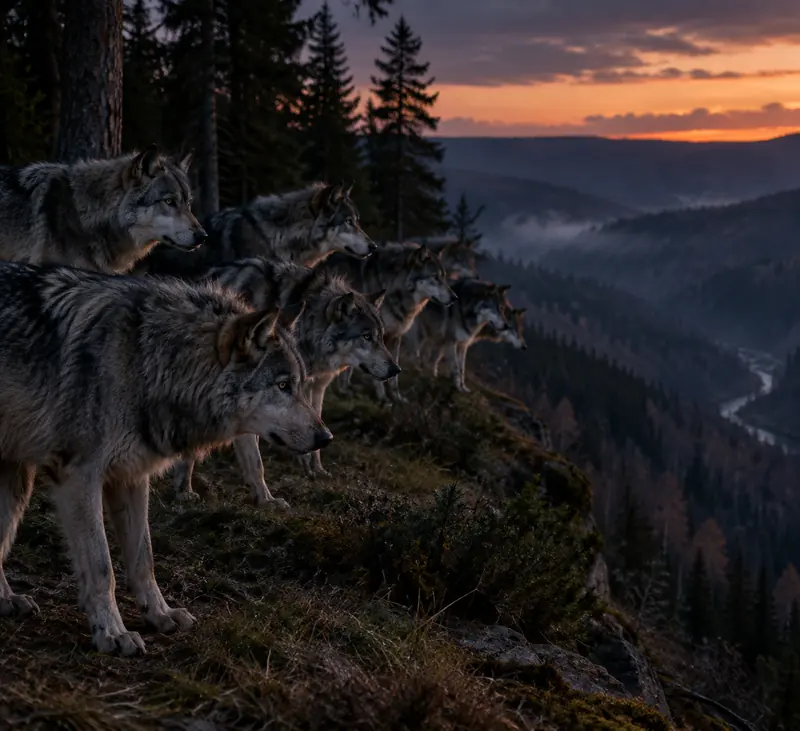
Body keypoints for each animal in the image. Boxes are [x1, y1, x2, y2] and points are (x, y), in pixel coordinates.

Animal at [0, 262, 331, 656]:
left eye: (300, 383)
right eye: (283, 386)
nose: (326, 437)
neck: (147, 360)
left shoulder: (130, 476)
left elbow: (144, 559)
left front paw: (160, 615)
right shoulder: (78, 477)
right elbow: (101, 566)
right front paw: (112, 633)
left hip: (15, 479)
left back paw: (6, 600)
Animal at [172, 257, 398, 506]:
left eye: (381, 337)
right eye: (367, 337)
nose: (395, 369)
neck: (306, 328)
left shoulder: (310, 389)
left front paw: (312, 469)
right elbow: (256, 461)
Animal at [328, 243, 456, 404]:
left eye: (444, 277)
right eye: (435, 277)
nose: (455, 297)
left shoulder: (395, 336)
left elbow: (393, 378)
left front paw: (397, 398)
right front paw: (381, 397)